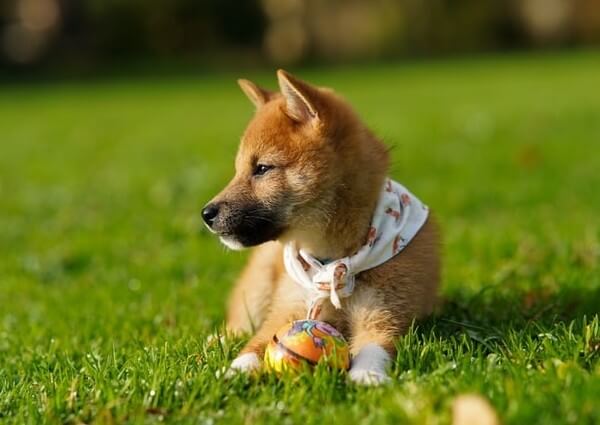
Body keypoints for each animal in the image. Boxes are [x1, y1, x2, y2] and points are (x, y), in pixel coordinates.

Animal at [203, 70, 440, 384]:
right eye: (238, 170)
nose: (206, 213)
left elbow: (375, 347)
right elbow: (255, 343)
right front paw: (234, 371)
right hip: (257, 289)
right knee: (238, 325)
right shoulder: (287, 309)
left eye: (262, 168)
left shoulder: (383, 313)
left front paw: (367, 376)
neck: (333, 260)